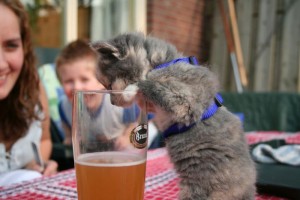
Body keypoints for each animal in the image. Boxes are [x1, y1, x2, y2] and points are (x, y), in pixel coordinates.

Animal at [91, 32, 255, 199]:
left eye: (110, 86)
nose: (112, 102)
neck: (162, 64)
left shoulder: (184, 102)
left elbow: (148, 84)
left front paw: (131, 90)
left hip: (199, 187)